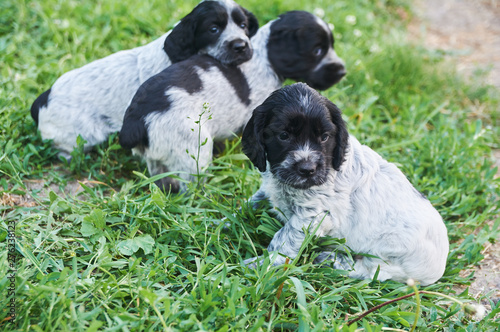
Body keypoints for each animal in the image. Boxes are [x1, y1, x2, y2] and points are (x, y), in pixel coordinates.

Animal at [119, 10, 346, 192]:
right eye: (317, 51)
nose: (343, 70)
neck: (263, 55)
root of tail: (137, 119)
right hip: (193, 153)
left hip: (156, 159)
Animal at [241, 83, 450, 286]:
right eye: (284, 135)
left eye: (325, 137)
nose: (308, 169)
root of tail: (439, 267)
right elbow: (251, 203)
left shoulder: (312, 216)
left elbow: (283, 240)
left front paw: (259, 266)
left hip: (389, 254)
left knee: (372, 272)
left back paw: (330, 260)